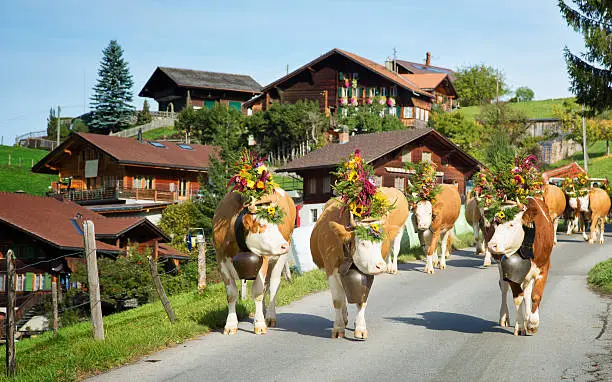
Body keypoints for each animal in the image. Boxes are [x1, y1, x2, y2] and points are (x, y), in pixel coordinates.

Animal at [213, 188, 296, 334]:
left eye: (276, 224)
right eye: (262, 224)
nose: (284, 245)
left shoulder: (263, 259)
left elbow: (257, 292)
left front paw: (260, 324)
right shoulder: (221, 261)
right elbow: (231, 294)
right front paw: (230, 325)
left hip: (280, 258)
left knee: (273, 286)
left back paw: (269, 317)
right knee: (266, 287)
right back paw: (262, 312)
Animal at [310, 192, 402, 338]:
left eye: (381, 243)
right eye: (363, 243)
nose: (380, 266)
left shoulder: (366, 273)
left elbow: (362, 301)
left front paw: (360, 327)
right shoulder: (330, 270)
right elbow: (337, 300)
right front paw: (338, 328)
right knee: (341, 296)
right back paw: (343, 318)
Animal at [488, 197, 556, 334]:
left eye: (511, 224)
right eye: (495, 223)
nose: (491, 245)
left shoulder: (544, 267)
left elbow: (535, 295)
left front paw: (532, 323)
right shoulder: (512, 270)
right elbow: (517, 297)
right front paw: (520, 326)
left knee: (527, 292)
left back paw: (528, 318)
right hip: (501, 266)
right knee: (504, 287)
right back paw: (504, 317)